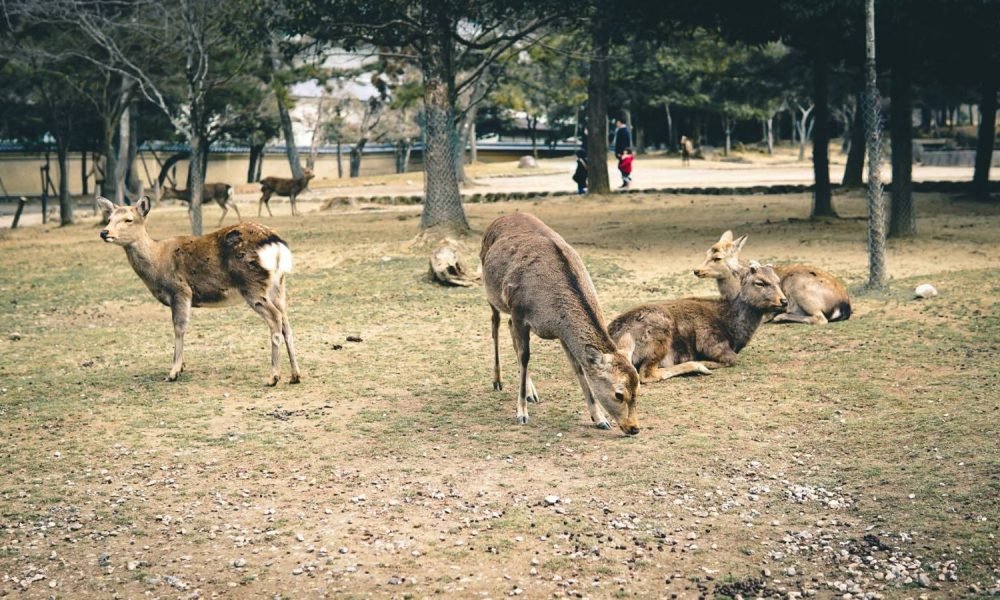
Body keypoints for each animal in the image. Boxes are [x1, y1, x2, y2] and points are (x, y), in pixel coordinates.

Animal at [96, 195, 301, 386]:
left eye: (128, 219)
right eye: (109, 217)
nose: (104, 232)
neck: (157, 261)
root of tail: (276, 243)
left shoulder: (180, 290)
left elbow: (179, 327)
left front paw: (173, 372)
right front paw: (181, 366)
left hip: (252, 285)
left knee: (275, 318)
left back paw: (273, 377)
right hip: (278, 286)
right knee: (286, 322)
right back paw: (295, 375)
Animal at [481, 213, 640, 435]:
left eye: (638, 388)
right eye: (619, 394)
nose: (634, 428)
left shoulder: (561, 333)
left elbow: (578, 367)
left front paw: (599, 419)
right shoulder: (519, 310)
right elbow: (524, 356)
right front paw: (521, 413)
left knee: (510, 327)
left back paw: (531, 392)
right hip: (492, 293)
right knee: (495, 325)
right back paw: (497, 381)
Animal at [609, 262, 786, 383]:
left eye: (778, 281)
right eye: (760, 282)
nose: (783, 301)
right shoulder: (712, 342)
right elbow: (731, 359)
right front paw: (705, 362)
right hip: (660, 333)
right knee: (647, 374)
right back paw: (698, 366)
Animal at [694, 230, 852, 325]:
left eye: (717, 257)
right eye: (707, 252)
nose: (696, 270)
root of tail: (844, 304)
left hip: (798, 287)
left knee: (821, 319)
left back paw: (781, 316)